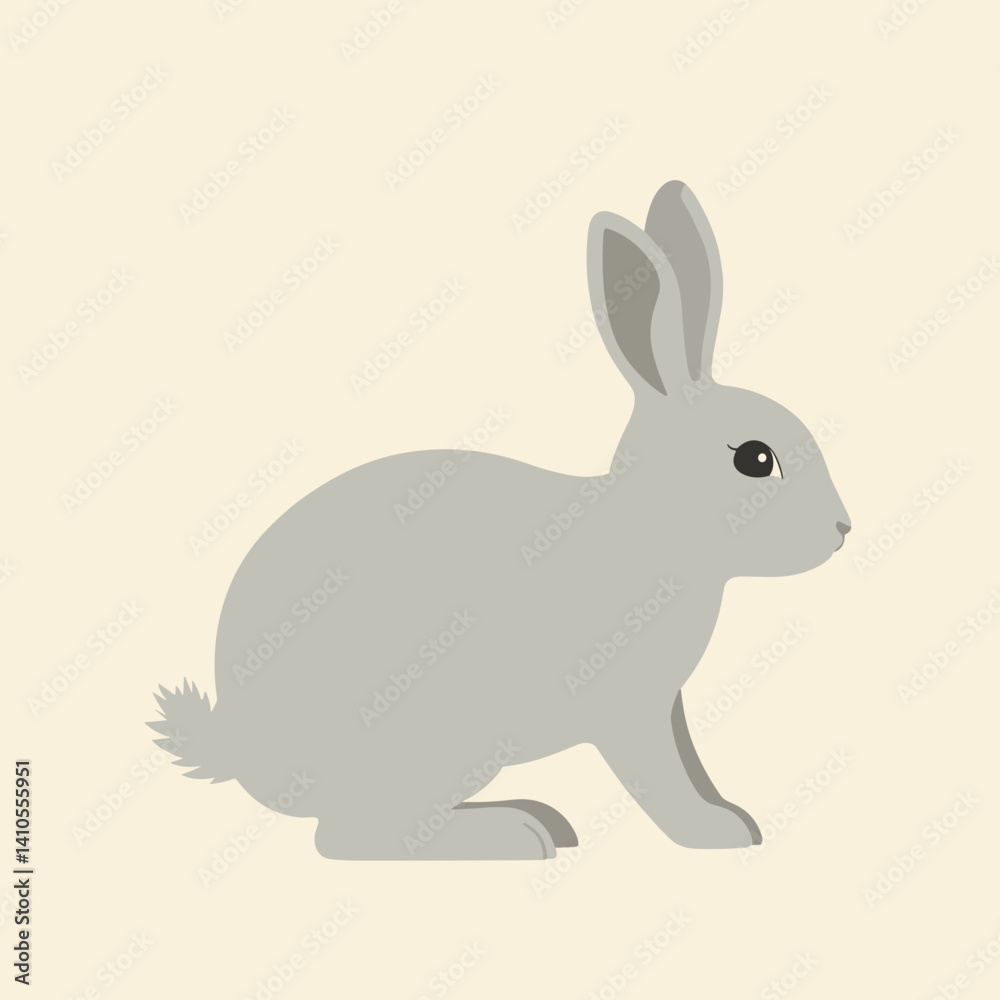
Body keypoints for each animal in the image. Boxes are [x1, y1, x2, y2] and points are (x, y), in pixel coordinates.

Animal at [149, 180, 850, 860]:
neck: (652, 522)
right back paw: (518, 835)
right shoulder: (627, 709)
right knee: (356, 837)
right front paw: (719, 833)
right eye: (756, 459)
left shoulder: (663, 704)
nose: (843, 530)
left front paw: (728, 818)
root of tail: (243, 751)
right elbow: (659, 774)